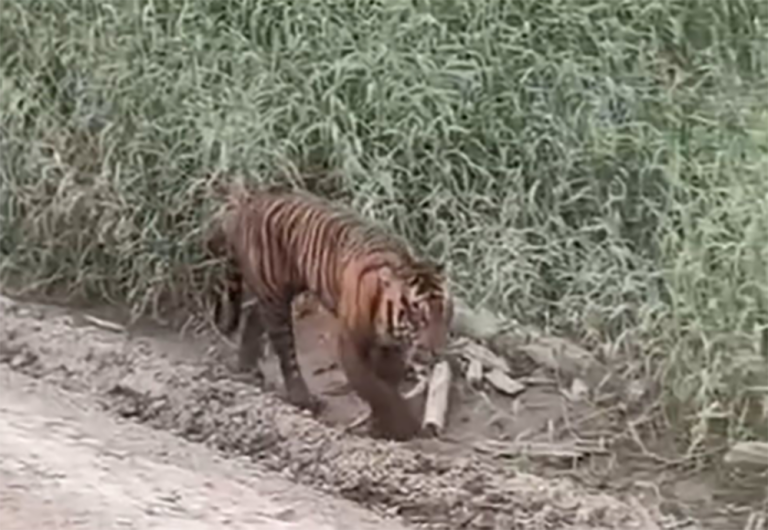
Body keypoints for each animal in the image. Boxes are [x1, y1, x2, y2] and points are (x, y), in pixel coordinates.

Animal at [207, 180, 452, 438]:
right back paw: (302, 398)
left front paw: (383, 425)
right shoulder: (351, 344)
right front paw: (401, 427)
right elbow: (373, 387)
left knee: (254, 316)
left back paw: (248, 367)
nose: (437, 352)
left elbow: (388, 382)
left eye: (445, 313)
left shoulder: (392, 348)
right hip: (275, 297)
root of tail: (250, 199)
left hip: (271, 294)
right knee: (286, 351)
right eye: (419, 315)